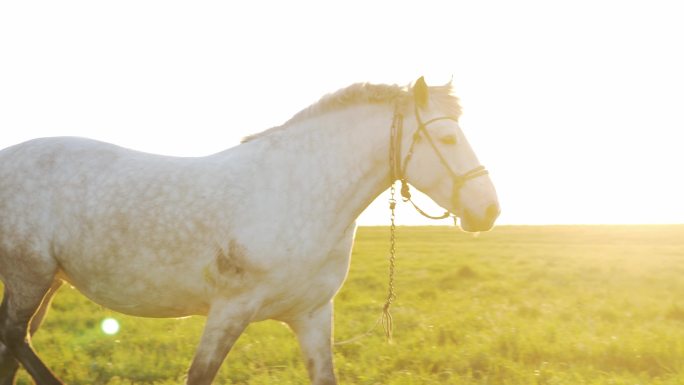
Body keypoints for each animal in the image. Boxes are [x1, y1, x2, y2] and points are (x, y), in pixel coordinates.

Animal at [0, 76, 500, 382]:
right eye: (449, 138)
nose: (489, 211)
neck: (297, 192)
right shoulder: (230, 310)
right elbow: (200, 374)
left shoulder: (312, 315)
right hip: (30, 275)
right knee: (14, 337)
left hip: (46, 281)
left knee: (11, 344)